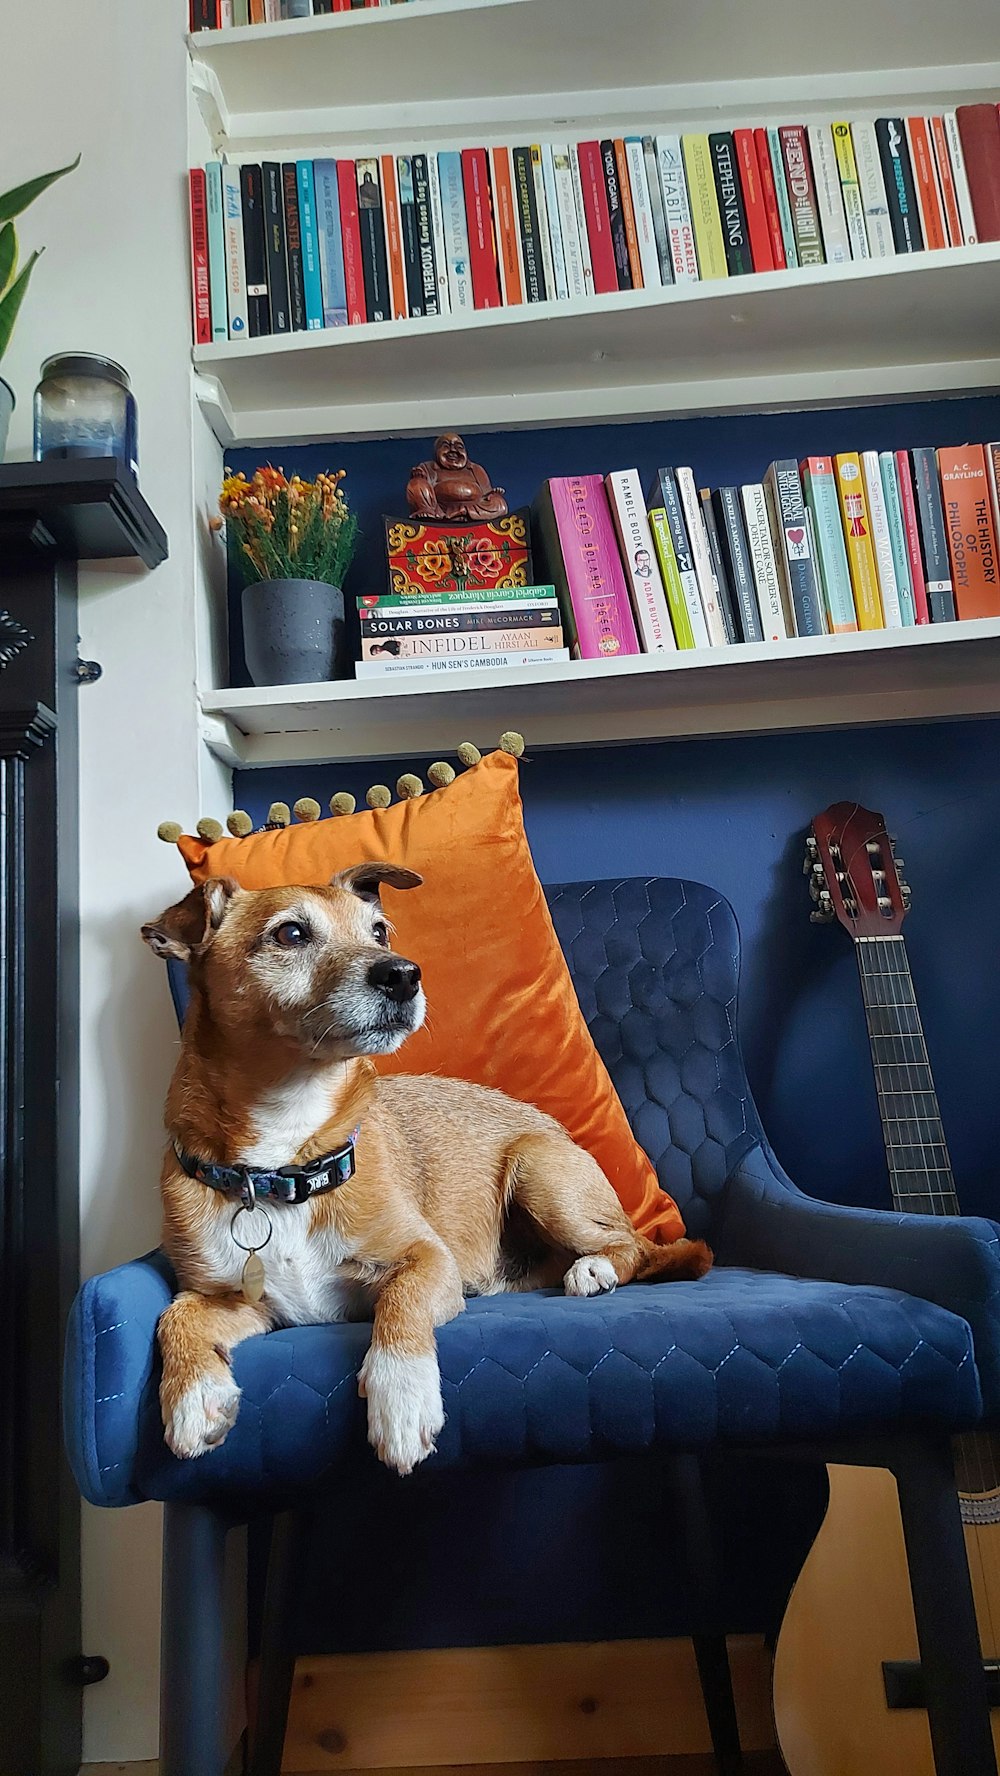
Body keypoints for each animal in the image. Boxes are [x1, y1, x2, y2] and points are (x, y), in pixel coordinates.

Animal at [144, 866, 717, 1477]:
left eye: (379, 932)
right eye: (291, 934)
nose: (403, 974)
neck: (285, 1164)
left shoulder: (427, 1259)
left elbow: (401, 1300)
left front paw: (401, 1396)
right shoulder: (241, 1301)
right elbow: (175, 1316)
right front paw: (192, 1397)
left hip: (539, 1169)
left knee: (631, 1245)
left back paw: (595, 1269)